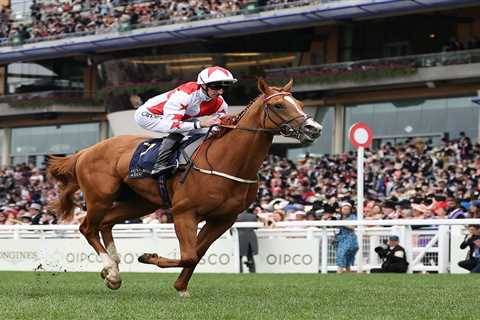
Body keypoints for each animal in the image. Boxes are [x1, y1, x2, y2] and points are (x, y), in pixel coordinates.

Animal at [47, 78, 322, 298]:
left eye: (300, 103)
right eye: (278, 105)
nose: (314, 129)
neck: (228, 161)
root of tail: (85, 151)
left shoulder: (223, 219)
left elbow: (197, 254)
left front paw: (180, 287)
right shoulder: (184, 212)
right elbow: (189, 254)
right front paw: (149, 258)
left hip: (141, 203)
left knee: (106, 223)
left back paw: (111, 267)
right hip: (100, 197)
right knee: (87, 227)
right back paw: (112, 272)